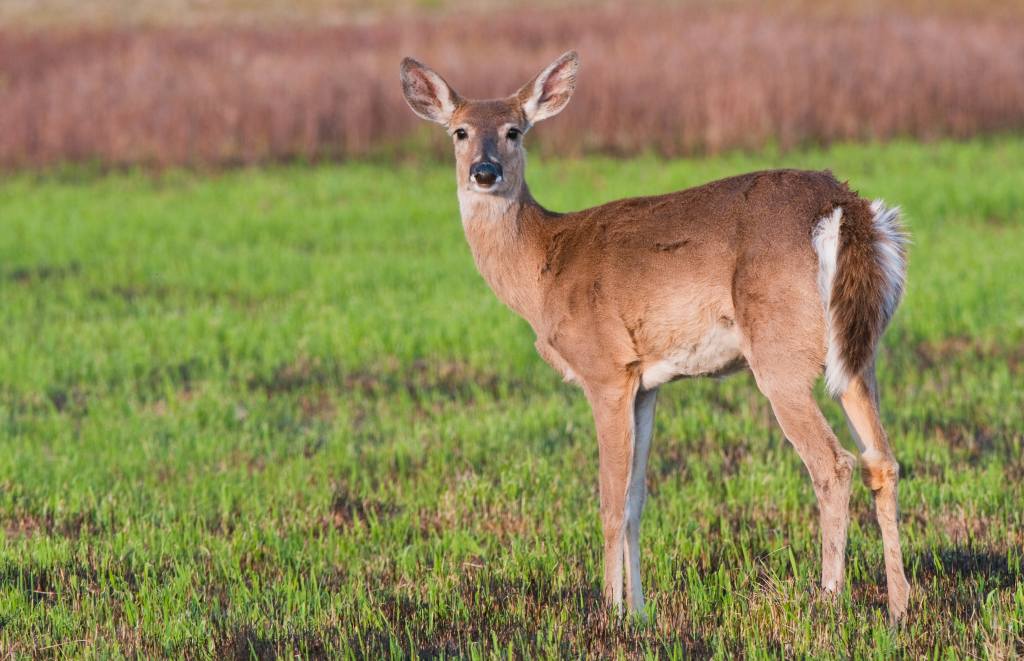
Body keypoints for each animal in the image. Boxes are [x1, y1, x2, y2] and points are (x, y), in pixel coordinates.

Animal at [400, 50, 910, 622]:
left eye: (514, 130)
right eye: (460, 131)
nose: (484, 172)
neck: (543, 267)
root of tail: (848, 209)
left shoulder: (605, 370)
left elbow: (609, 500)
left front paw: (609, 613)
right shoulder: (646, 384)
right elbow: (637, 499)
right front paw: (640, 613)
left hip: (780, 353)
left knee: (834, 465)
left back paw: (827, 600)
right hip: (858, 351)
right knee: (882, 461)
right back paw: (899, 607)